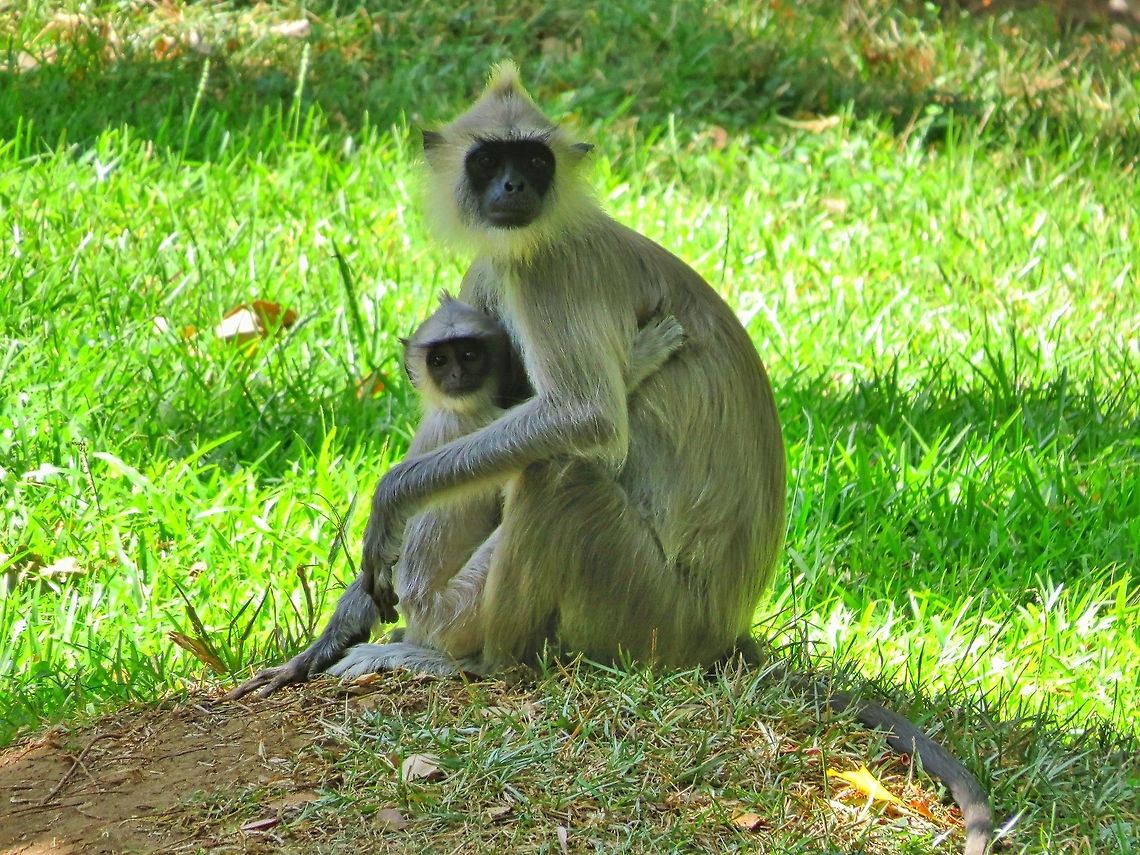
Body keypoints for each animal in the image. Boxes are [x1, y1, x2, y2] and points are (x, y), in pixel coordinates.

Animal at [228, 64, 992, 854]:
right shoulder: (497, 269)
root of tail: (723, 630)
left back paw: (476, 663)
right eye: (489, 161)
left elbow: (584, 419)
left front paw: (391, 503)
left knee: (558, 472)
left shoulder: (544, 272)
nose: (514, 188)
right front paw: (339, 624)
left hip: (647, 614)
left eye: (534, 161)